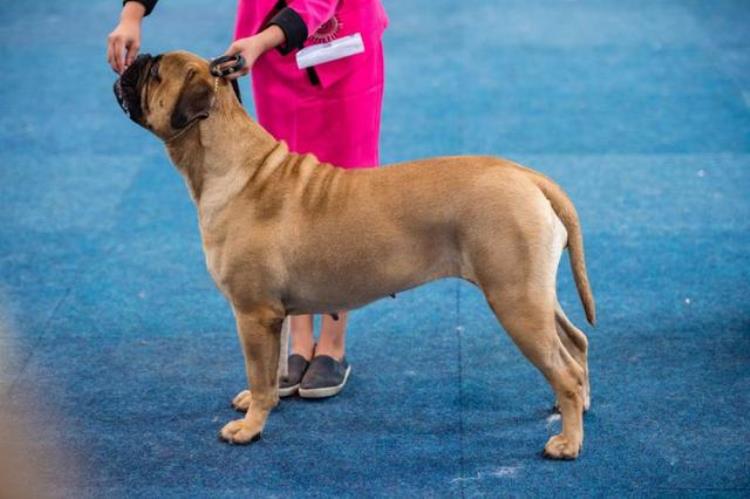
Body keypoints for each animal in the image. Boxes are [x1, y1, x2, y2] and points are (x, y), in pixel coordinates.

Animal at [114, 50, 600, 460]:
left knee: (564, 370)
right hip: (533, 293)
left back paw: (567, 441)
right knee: (575, 343)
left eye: (154, 72)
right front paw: (259, 402)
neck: (235, 167)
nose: (133, 58)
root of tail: (529, 176)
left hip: (515, 300)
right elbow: (269, 370)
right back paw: (575, 407)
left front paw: (250, 427)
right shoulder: (270, 317)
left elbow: (258, 371)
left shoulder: (252, 313)